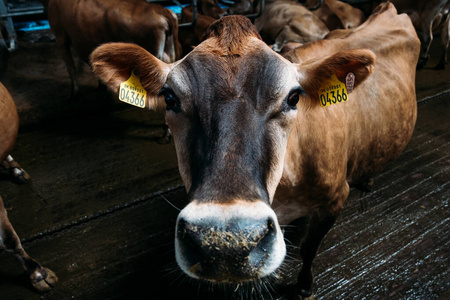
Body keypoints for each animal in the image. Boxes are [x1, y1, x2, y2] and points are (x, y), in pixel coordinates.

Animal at [89, 3, 420, 298]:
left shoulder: (334, 199)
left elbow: (309, 248)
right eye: (169, 98)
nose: (227, 243)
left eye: (294, 98)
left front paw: (303, 287)